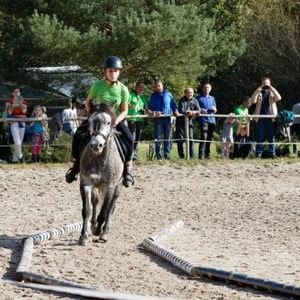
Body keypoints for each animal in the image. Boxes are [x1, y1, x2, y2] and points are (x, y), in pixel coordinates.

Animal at [79, 101, 123, 246]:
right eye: (90, 121)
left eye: (109, 122)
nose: (96, 145)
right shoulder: (86, 183)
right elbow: (86, 210)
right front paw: (84, 236)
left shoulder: (110, 186)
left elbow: (104, 212)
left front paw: (99, 231)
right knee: (96, 202)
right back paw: (93, 226)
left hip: (117, 187)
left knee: (110, 208)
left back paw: (104, 232)